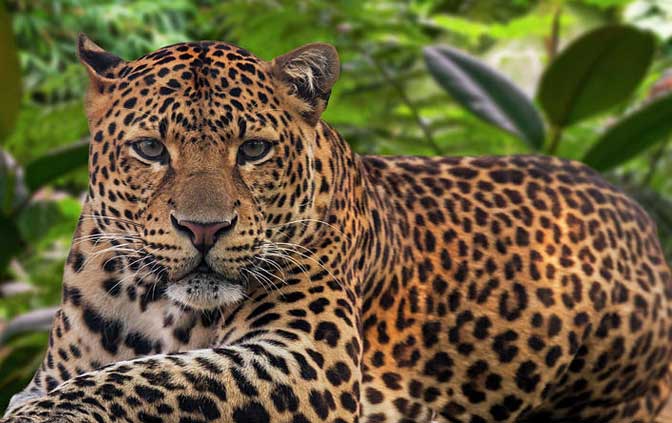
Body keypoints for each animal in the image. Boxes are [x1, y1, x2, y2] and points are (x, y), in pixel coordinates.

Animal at [2, 33, 672, 423]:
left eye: (253, 150)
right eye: (149, 149)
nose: (203, 229)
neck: (159, 305)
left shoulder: (306, 356)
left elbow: (150, 377)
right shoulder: (58, 367)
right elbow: (117, 374)